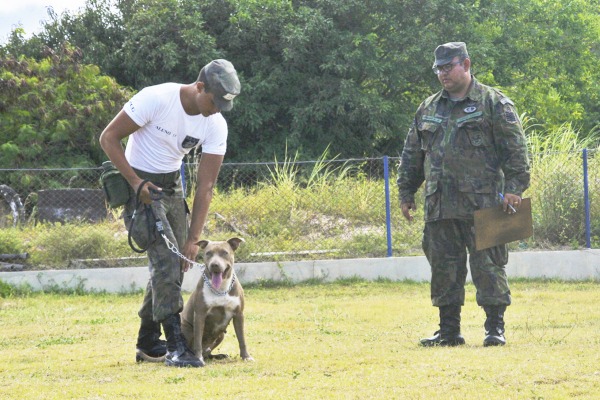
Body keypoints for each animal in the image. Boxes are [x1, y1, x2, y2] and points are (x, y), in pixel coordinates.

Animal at [178, 236, 253, 368]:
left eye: (225, 252)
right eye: (208, 253)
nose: (214, 265)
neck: (221, 290)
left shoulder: (239, 315)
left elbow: (242, 339)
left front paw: (246, 357)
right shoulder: (200, 315)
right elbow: (198, 341)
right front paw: (198, 358)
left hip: (221, 334)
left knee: (208, 352)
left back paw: (219, 356)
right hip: (185, 328)